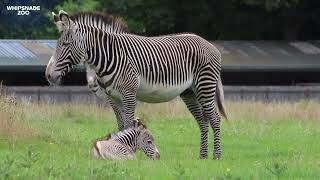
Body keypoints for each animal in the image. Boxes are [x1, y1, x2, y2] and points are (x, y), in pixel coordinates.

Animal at [46, 10, 228, 159]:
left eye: (65, 45)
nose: (48, 75)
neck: (112, 55)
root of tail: (209, 44)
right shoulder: (114, 97)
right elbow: (120, 125)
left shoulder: (129, 94)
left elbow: (128, 124)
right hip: (189, 93)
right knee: (203, 121)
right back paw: (202, 156)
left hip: (205, 86)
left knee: (215, 118)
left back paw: (216, 156)